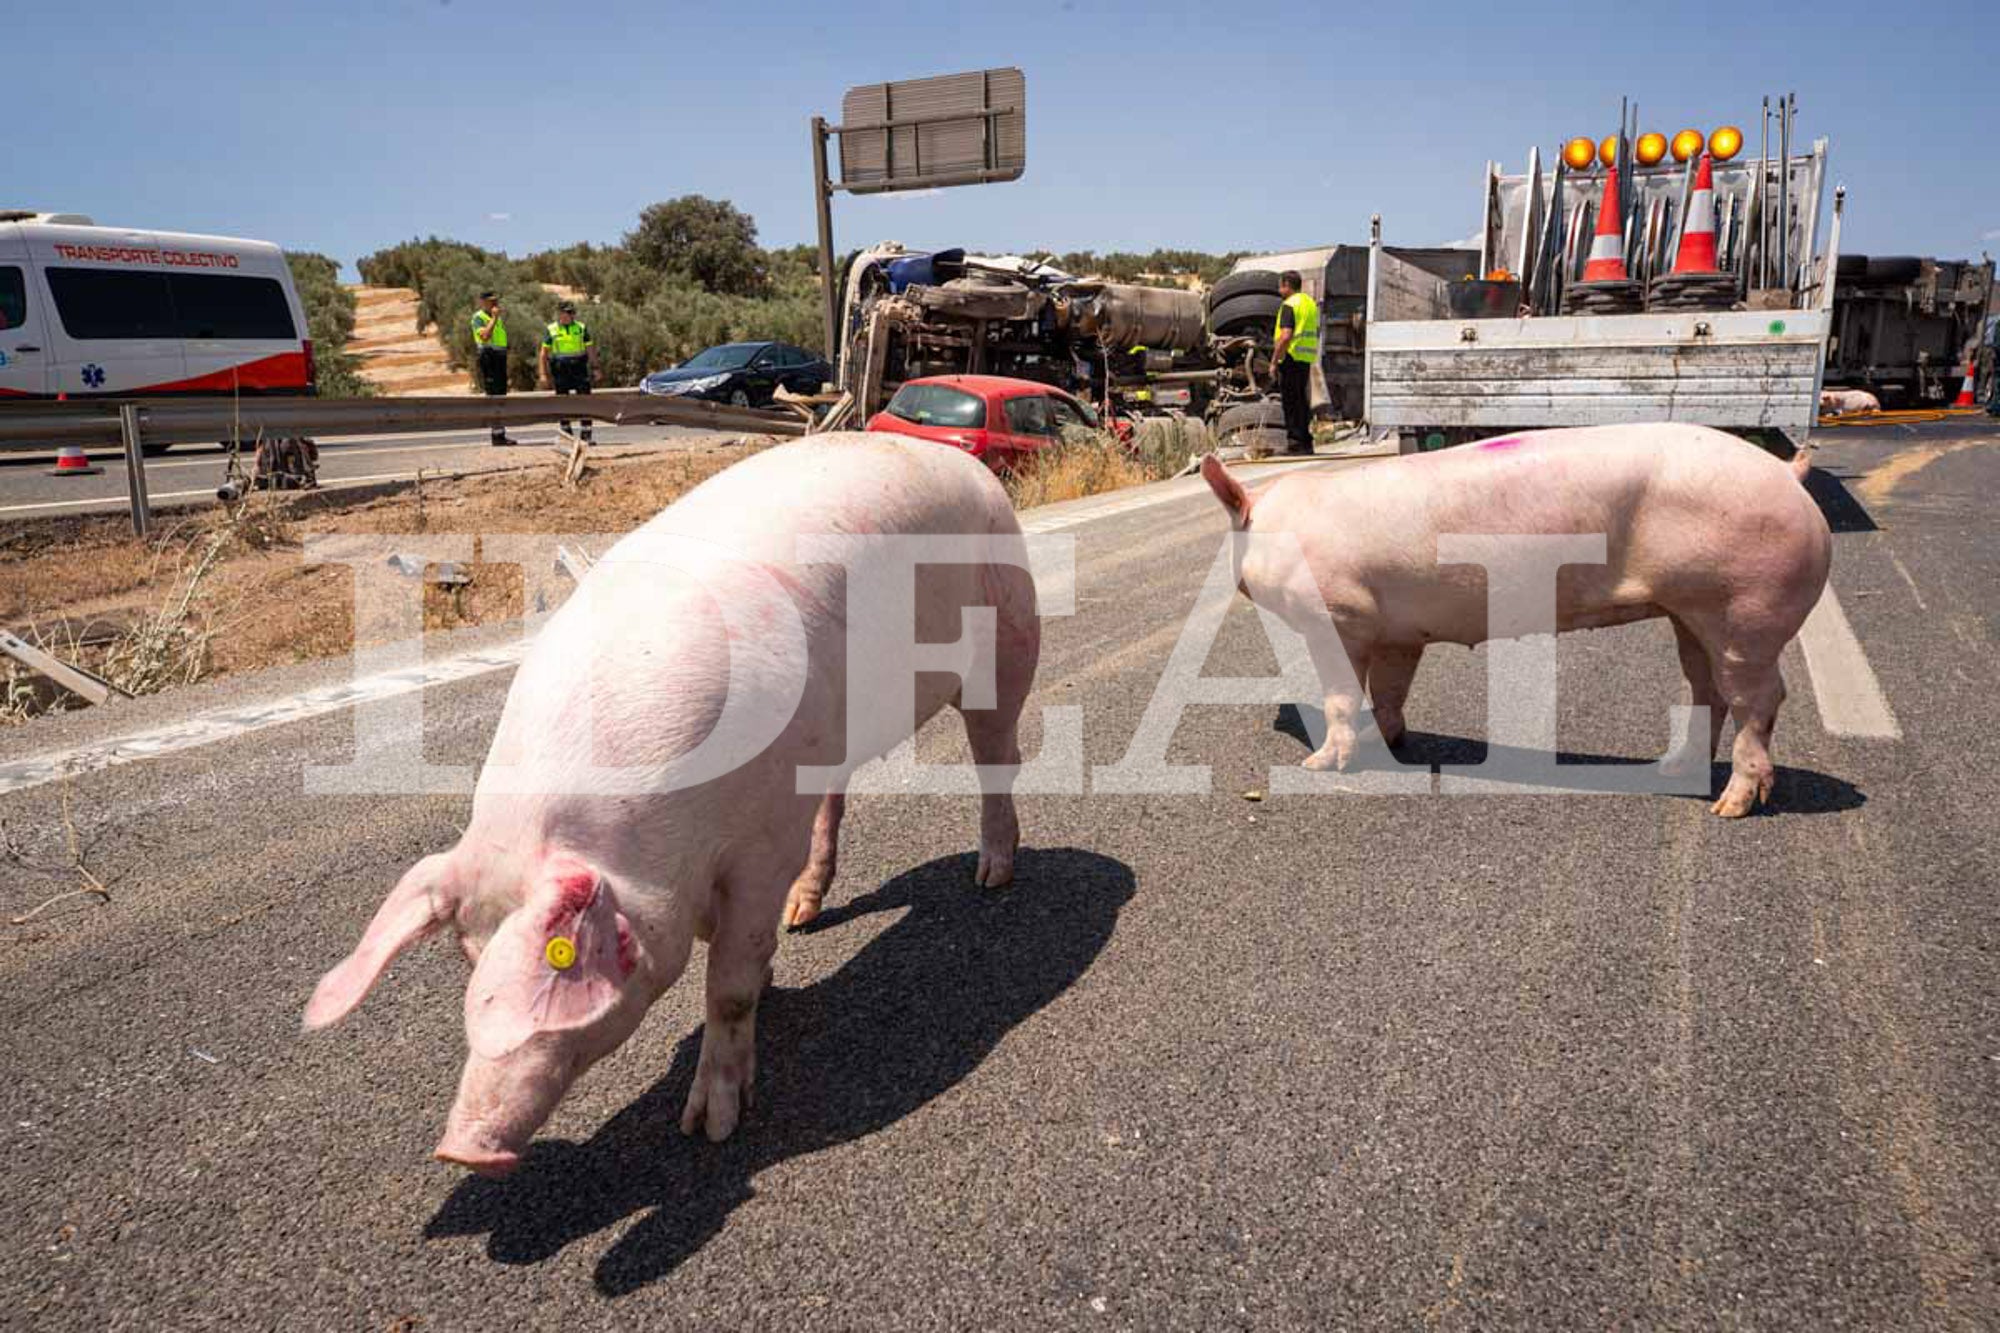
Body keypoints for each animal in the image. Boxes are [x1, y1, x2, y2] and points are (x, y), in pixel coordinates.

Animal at [308, 430, 1048, 1168]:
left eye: (561, 959)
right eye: (469, 955)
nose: (461, 1149)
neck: (662, 846)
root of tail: (959, 461)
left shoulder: (760, 847)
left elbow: (728, 985)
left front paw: (710, 1127)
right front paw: (776, 960)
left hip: (1010, 632)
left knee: (996, 758)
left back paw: (992, 874)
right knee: (835, 799)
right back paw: (804, 914)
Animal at [1192, 426, 1832, 816]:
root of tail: (1788, 475)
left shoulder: (1338, 613)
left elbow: (1342, 697)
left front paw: (1316, 764)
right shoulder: (1399, 632)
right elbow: (1392, 691)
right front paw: (1389, 740)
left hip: (1746, 607)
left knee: (1760, 698)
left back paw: (1731, 806)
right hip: (1691, 612)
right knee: (1707, 689)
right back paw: (1673, 770)